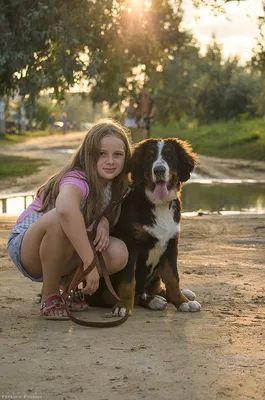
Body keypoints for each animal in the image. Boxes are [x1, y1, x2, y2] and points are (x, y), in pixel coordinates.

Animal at [86, 138, 200, 316]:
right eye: (150, 157)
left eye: (170, 155)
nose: (159, 170)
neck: (158, 204)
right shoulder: (131, 245)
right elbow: (128, 281)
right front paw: (123, 306)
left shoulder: (171, 245)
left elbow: (173, 278)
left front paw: (182, 302)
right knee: (131, 294)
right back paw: (153, 301)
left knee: (156, 288)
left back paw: (180, 295)